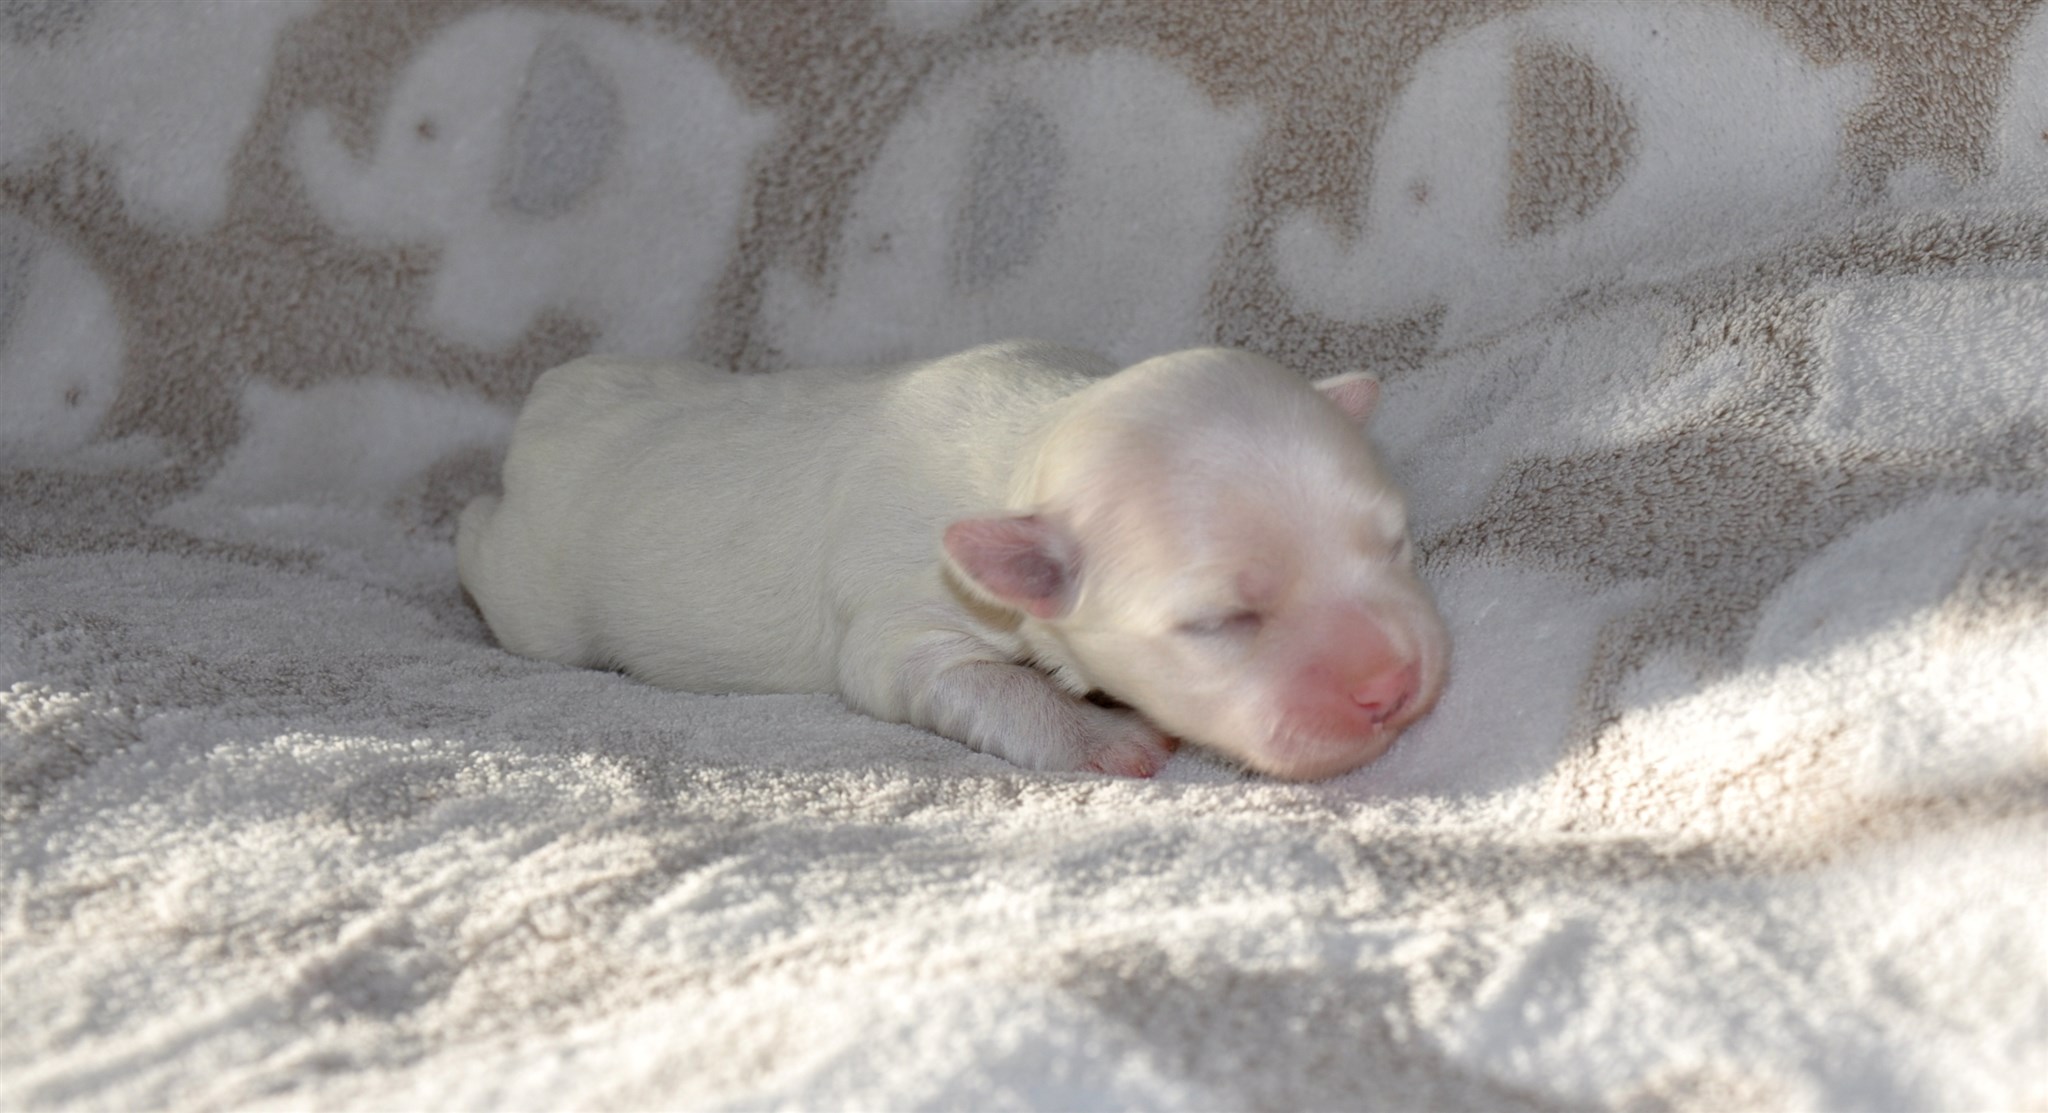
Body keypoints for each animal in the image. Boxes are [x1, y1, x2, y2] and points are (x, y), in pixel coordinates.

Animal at [455, 340, 1448, 779]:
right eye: (1221, 622)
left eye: (1396, 543)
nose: (1394, 686)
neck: (1031, 437)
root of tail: (558, 396)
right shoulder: (903, 619)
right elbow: (965, 678)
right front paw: (1104, 734)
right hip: (538, 594)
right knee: (487, 551)